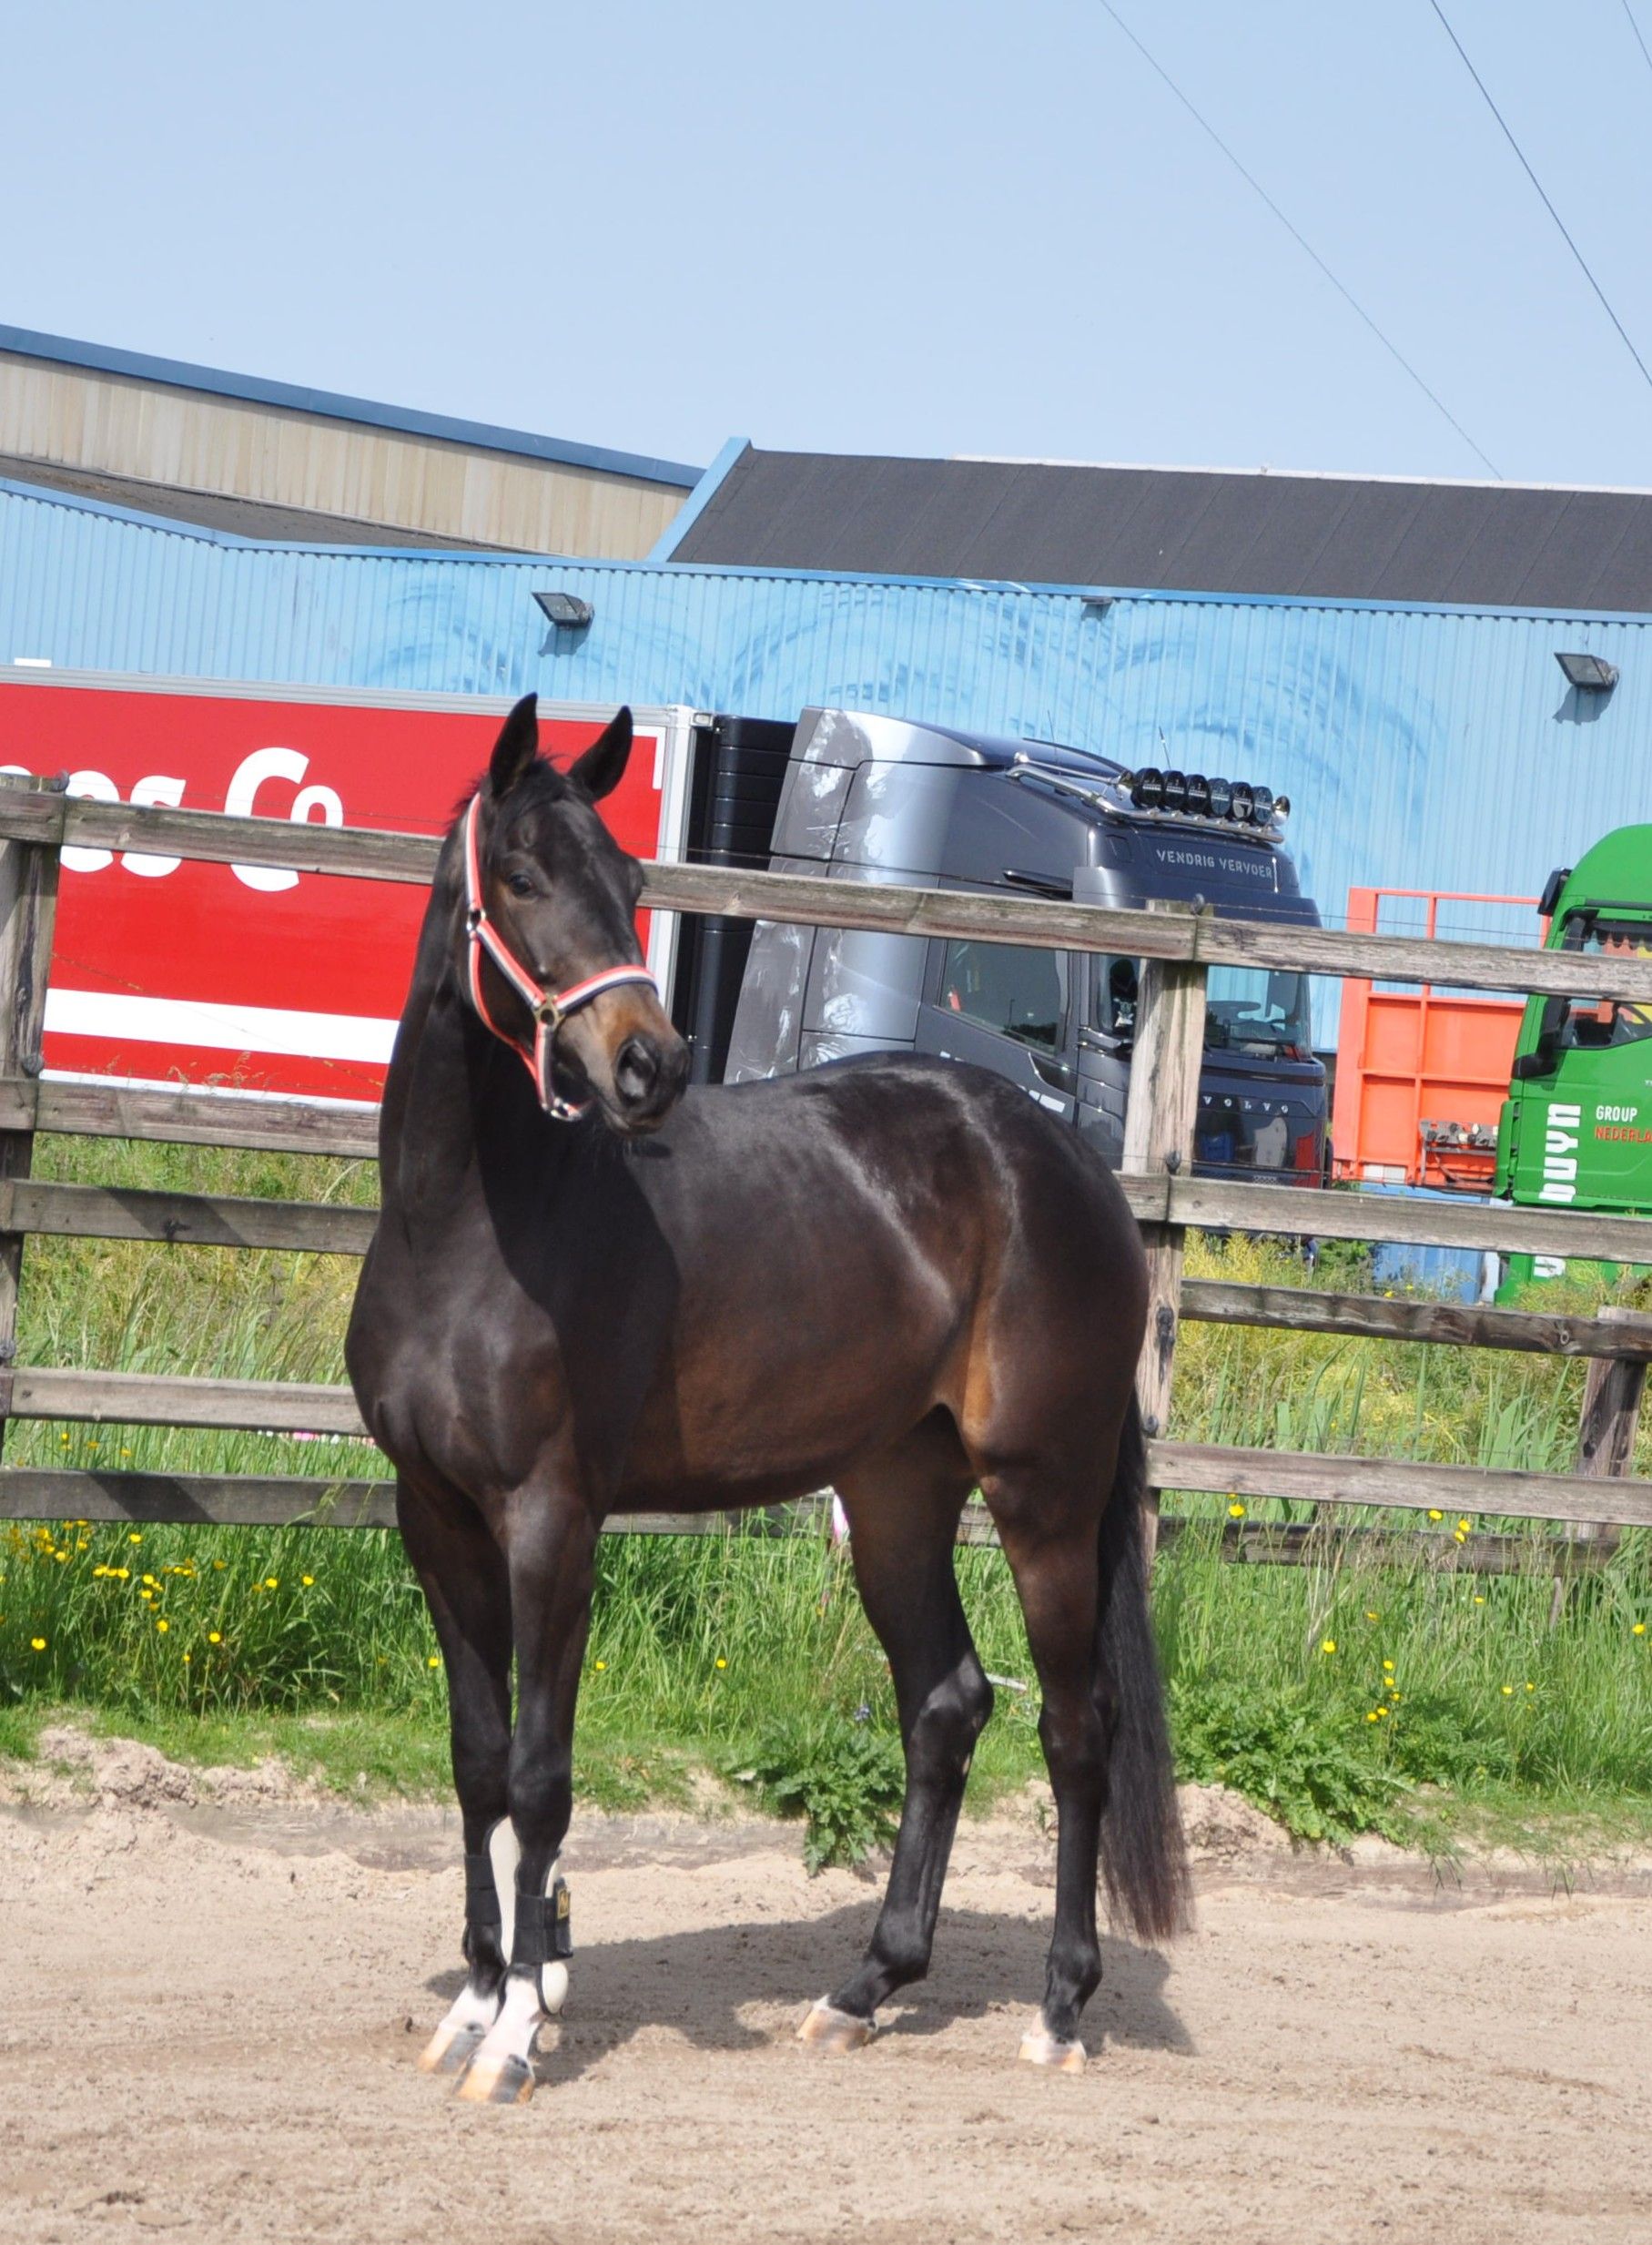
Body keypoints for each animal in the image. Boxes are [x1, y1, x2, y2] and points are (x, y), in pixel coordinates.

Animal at [345, 693, 1188, 2105]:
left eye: (633, 881)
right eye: (518, 876)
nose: (649, 1063)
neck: (467, 1228)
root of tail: (1056, 1154)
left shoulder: (551, 1522)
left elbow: (540, 1774)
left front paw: (516, 2034)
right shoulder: (437, 1520)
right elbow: (475, 1767)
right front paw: (477, 2001)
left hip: (1045, 1495)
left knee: (1078, 1728)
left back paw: (1060, 2009)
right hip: (896, 1489)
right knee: (946, 1704)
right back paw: (863, 1987)